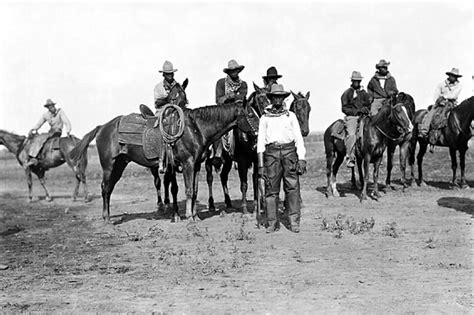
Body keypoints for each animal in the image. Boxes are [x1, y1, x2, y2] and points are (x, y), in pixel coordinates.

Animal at [69, 100, 260, 223]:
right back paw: (107, 218)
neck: (195, 128)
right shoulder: (188, 163)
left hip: (120, 165)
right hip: (109, 166)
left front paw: (195, 215)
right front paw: (189, 217)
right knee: (105, 188)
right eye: (251, 114)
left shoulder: (197, 165)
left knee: (108, 189)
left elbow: (195, 190)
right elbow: (188, 190)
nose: (259, 132)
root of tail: (102, 127)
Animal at [205, 85, 312, 215]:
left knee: (223, 176)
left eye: (309, 109)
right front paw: (245, 209)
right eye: (260, 100)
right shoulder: (242, 161)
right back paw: (211, 205)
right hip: (212, 158)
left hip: (228, 161)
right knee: (210, 176)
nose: (305, 131)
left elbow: (257, 179)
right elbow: (244, 184)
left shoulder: (257, 160)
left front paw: (258, 205)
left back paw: (229, 204)